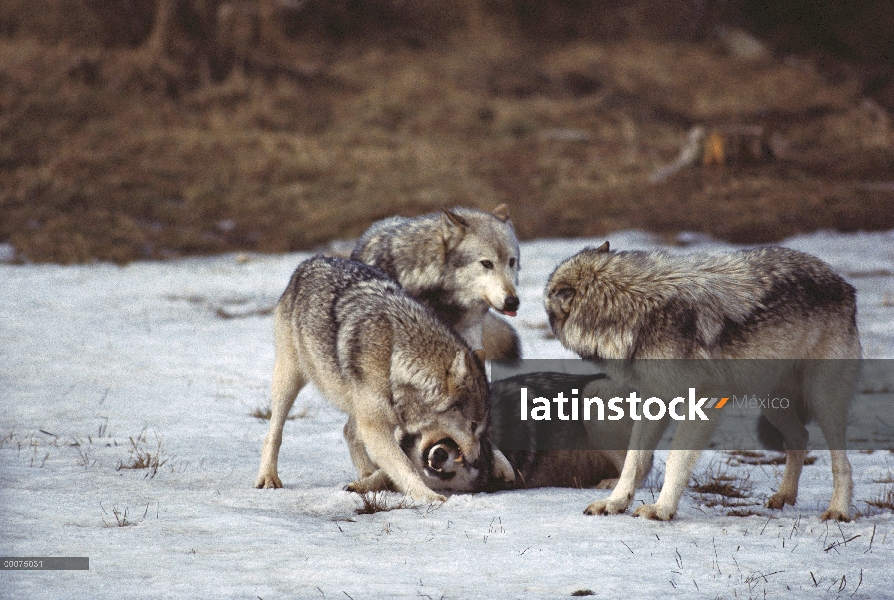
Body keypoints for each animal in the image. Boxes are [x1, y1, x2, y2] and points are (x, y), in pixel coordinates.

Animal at [256, 256, 516, 502]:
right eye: (472, 426)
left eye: (482, 430)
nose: (477, 461)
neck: (396, 360)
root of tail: (310, 261)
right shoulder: (376, 428)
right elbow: (407, 466)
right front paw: (429, 497)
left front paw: (502, 465)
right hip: (289, 380)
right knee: (274, 432)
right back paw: (268, 476)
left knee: (348, 432)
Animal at [544, 243, 864, 520]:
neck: (633, 308)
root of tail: (841, 280)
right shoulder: (655, 398)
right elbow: (633, 462)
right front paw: (614, 503)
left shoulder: (702, 402)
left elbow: (675, 461)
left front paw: (661, 510)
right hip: (772, 403)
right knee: (800, 438)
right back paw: (784, 496)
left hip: (823, 400)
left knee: (841, 463)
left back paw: (838, 511)